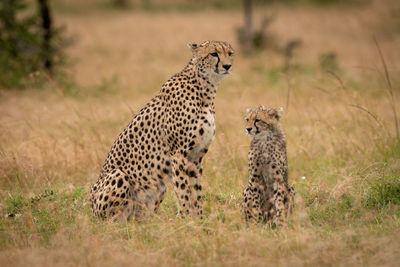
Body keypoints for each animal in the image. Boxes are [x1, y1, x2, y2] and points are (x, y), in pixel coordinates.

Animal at [90, 40, 234, 221]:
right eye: (214, 54)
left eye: (230, 53)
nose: (227, 66)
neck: (205, 88)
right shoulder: (178, 154)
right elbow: (183, 191)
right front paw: (186, 219)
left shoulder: (197, 156)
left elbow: (196, 191)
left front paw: (199, 219)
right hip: (119, 176)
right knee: (113, 219)